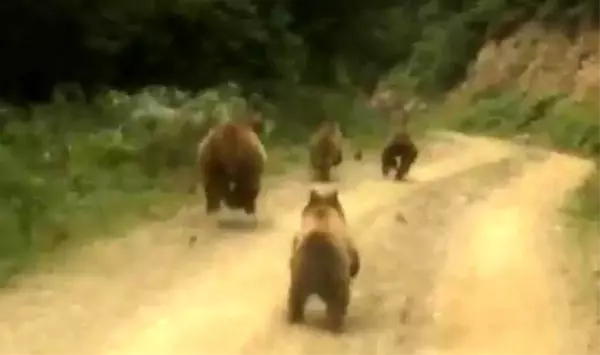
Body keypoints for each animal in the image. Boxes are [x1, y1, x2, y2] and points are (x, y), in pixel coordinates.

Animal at [288, 189, 358, 334]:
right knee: (338, 303)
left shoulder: (295, 244)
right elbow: (354, 257)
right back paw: (336, 326)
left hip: (298, 277)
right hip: (336, 279)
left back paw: (294, 319)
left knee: (294, 299)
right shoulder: (347, 242)